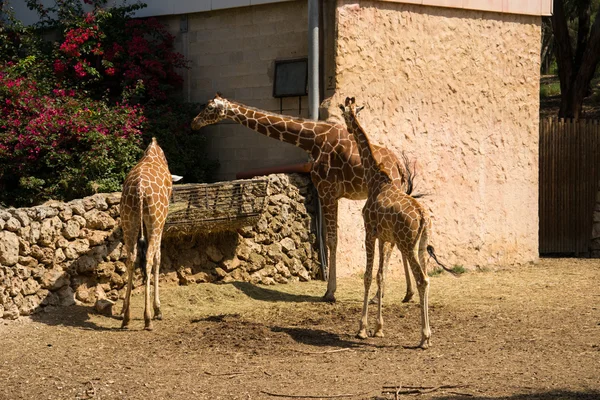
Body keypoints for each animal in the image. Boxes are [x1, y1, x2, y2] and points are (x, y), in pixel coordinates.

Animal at [118, 138, 172, 332]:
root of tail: (140, 191)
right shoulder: (161, 222)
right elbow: (158, 257)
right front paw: (158, 310)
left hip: (128, 221)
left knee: (131, 259)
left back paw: (126, 318)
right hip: (155, 221)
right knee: (149, 258)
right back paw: (148, 318)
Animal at [192, 94, 418, 304]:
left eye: (210, 108)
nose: (194, 122)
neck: (313, 140)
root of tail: (399, 167)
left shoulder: (327, 191)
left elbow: (332, 240)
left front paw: (329, 293)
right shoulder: (331, 194)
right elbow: (332, 239)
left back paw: (380, 296)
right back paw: (407, 293)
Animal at [338, 97, 454, 350]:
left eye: (345, 114)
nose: (349, 129)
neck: (375, 179)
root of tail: (423, 217)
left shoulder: (369, 232)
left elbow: (367, 276)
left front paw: (362, 329)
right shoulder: (385, 237)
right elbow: (381, 276)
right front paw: (379, 328)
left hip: (407, 244)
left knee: (422, 279)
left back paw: (424, 337)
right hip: (420, 245)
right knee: (426, 278)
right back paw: (427, 336)